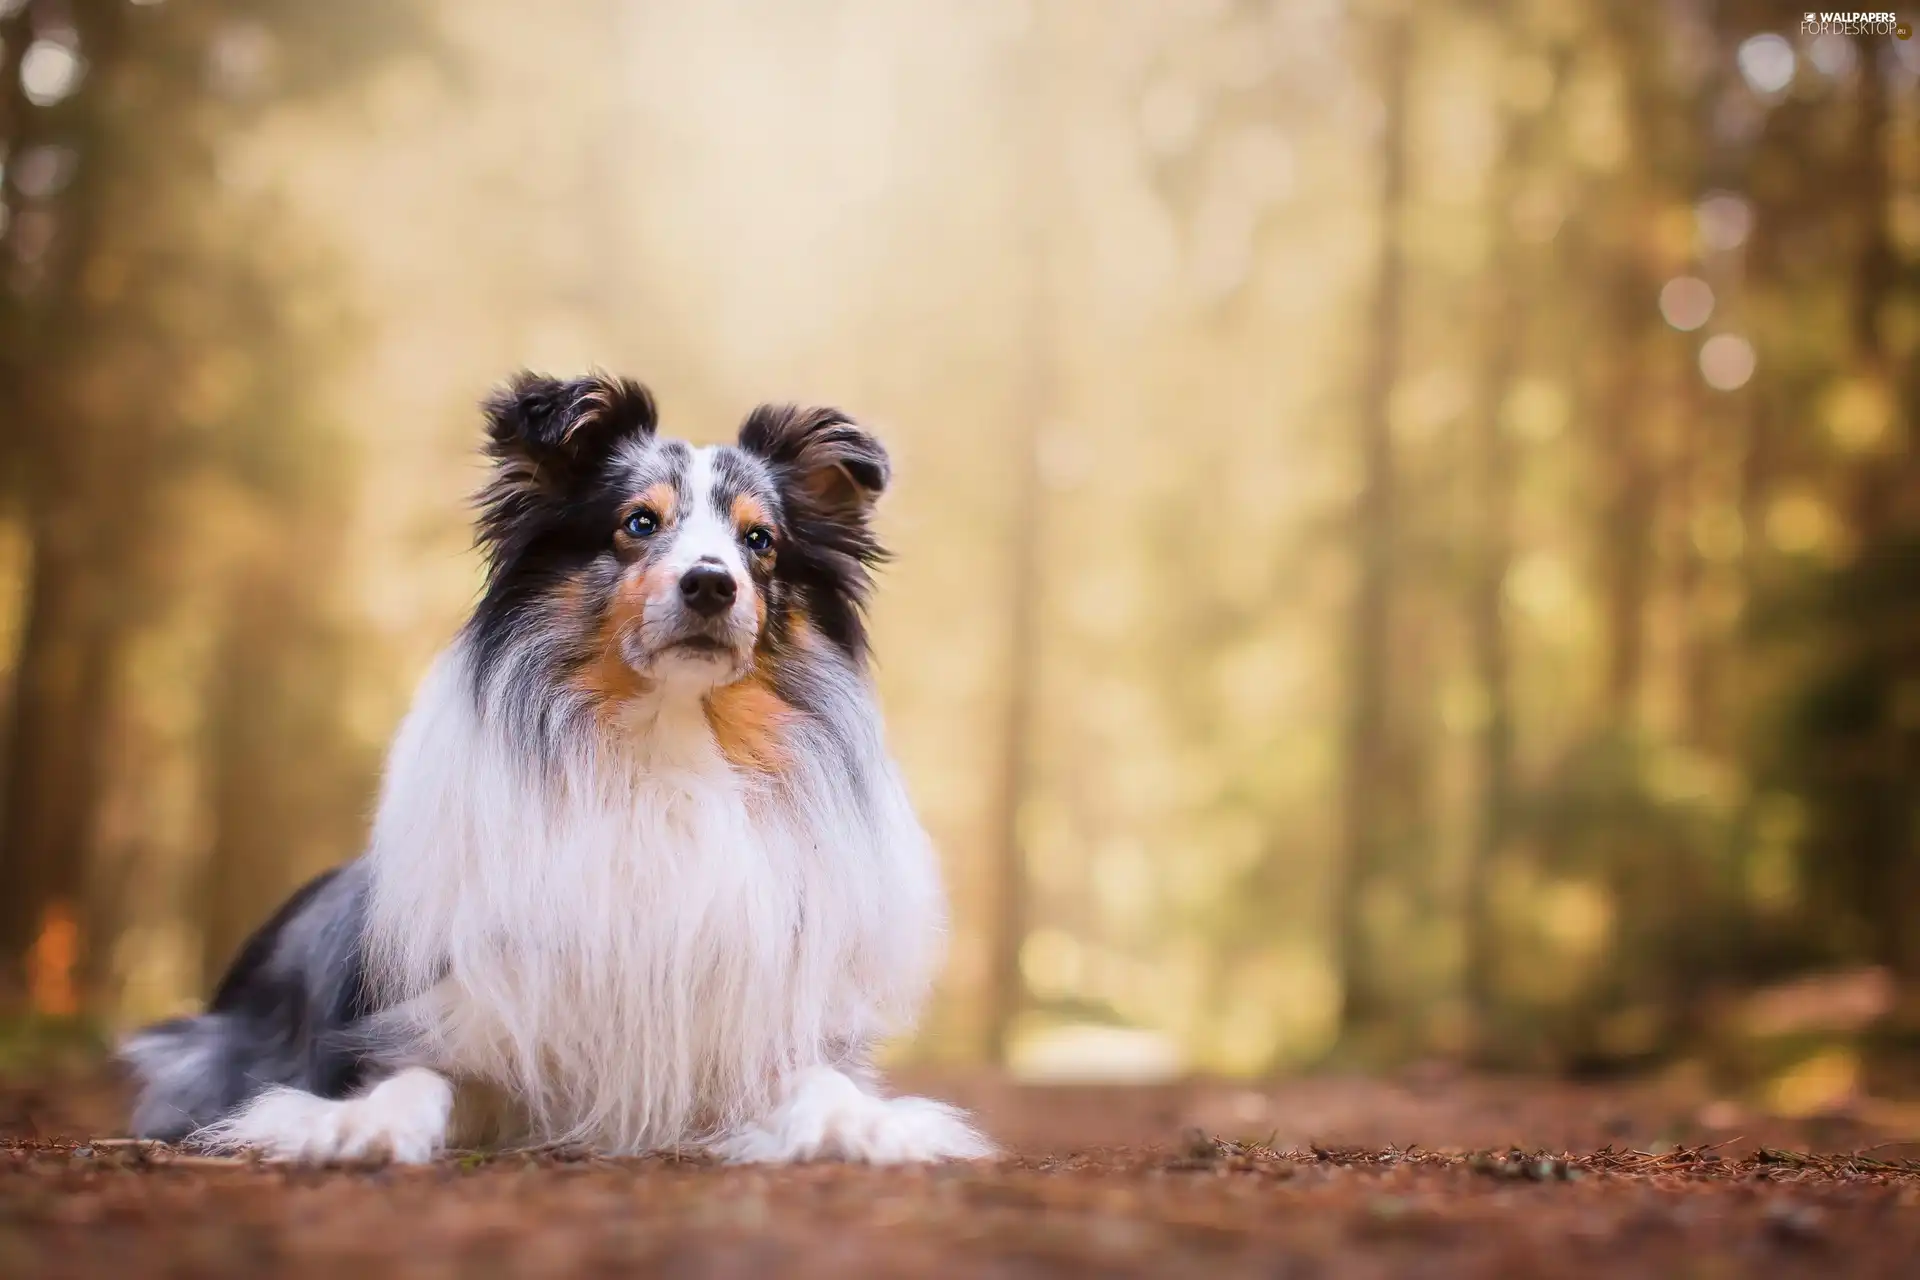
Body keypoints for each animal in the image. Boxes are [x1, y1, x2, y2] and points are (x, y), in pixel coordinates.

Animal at [120, 376, 990, 1166]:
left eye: (760, 541)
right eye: (639, 523)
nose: (710, 584)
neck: (666, 747)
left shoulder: (743, 1036)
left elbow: (820, 1081)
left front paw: (861, 1126)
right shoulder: (447, 1018)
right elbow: (413, 1076)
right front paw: (363, 1125)